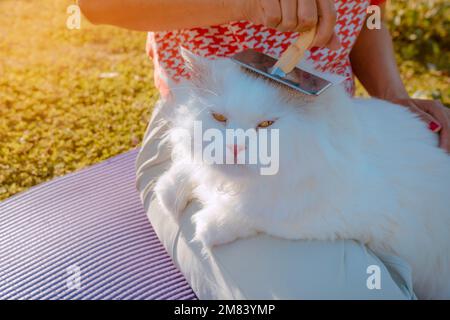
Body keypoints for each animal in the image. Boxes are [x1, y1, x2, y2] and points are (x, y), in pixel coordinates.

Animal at [155, 48, 450, 298]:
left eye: (266, 124)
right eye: (219, 118)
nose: (235, 146)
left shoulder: (338, 216)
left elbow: (258, 212)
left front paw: (209, 225)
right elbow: (191, 170)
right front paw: (168, 191)